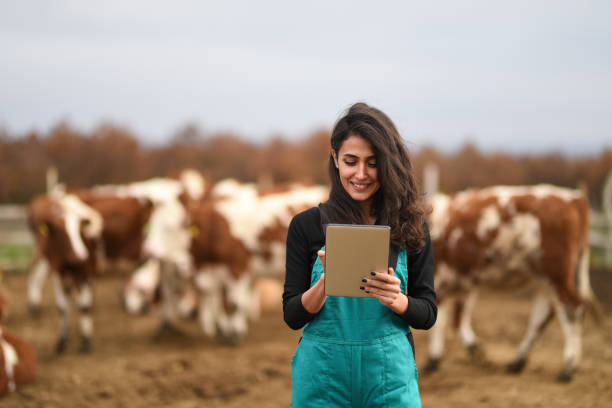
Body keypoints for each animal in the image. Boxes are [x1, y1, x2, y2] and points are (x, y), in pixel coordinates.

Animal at [27, 190, 103, 352]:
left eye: (80, 231)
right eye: (61, 233)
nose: (81, 255)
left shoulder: (86, 273)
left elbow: (85, 307)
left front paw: (86, 341)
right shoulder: (57, 273)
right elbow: (62, 308)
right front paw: (61, 341)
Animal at [424, 186, 600, 382]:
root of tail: (574, 198)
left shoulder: (440, 278)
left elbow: (440, 320)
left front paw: (433, 360)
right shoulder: (464, 281)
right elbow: (458, 317)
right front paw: (472, 348)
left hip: (556, 274)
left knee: (572, 309)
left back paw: (568, 367)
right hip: (544, 279)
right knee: (541, 318)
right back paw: (518, 361)